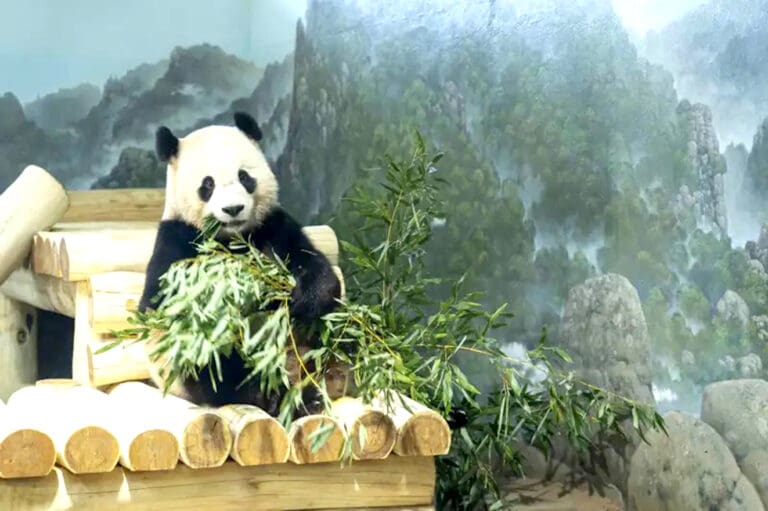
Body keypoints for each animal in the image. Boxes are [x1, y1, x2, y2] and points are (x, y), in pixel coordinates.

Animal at [138, 111, 342, 418]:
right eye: (207, 185)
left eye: (244, 177)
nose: (233, 209)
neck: (234, 239)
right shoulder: (178, 241)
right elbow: (167, 303)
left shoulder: (273, 226)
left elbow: (314, 267)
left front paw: (304, 299)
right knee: (216, 365)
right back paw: (267, 394)